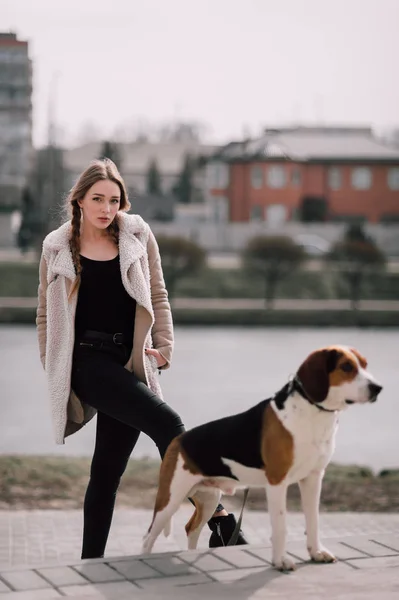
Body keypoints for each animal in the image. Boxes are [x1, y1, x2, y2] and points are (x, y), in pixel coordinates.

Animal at [142, 344, 382, 568]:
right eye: (346, 367)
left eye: (365, 364)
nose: (378, 388)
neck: (311, 413)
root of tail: (178, 440)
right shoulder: (277, 482)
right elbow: (280, 526)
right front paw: (281, 561)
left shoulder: (313, 479)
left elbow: (313, 521)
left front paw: (316, 553)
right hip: (170, 499)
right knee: (149, 537)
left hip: (210, 499)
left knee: (191, 529)